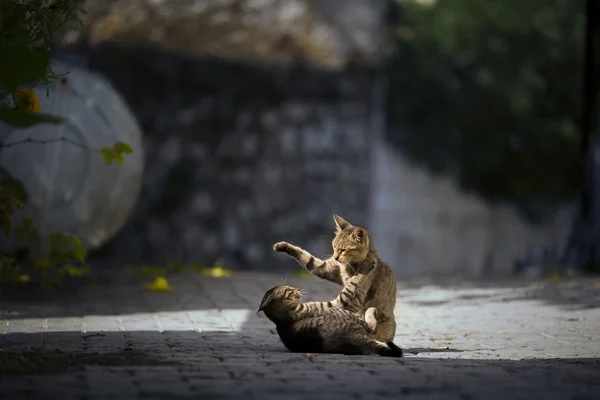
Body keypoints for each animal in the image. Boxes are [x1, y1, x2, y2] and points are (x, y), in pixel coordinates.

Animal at [255, 282, 400, 358]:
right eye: (288, 290)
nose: (297, 288)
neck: (282, 318)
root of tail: (356, 339)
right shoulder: (332, 305)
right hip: (351, 317)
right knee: (371, 326)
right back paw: (372, 310)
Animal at [274, 214, 396, 342]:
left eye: (343, 250)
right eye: (334, 246)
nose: (335, 257)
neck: (349, 266)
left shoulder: (356, 298)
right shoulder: (327, 268)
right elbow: (308, 258)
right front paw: (283, 246)